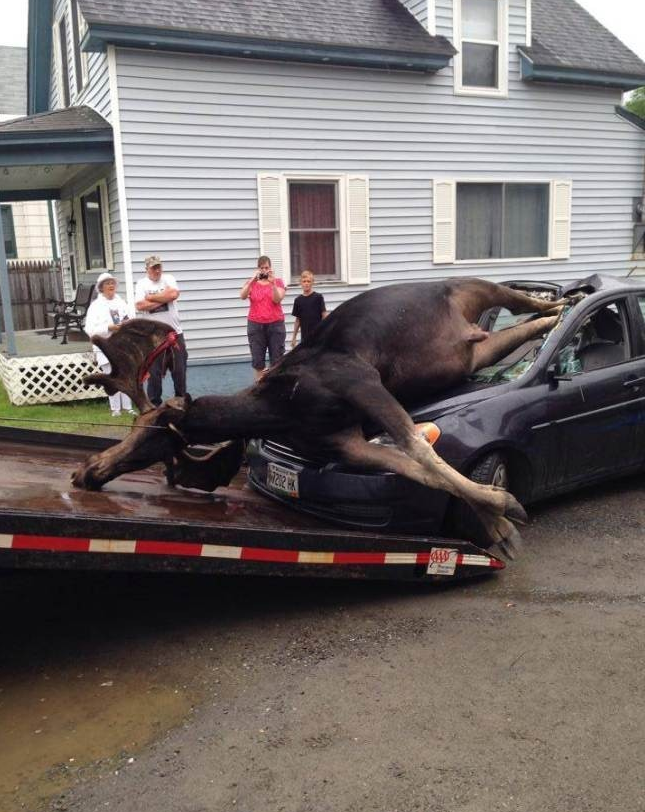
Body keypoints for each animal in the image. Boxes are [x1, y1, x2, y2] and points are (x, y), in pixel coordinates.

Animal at [73, 280, 568, 560]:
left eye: (145, 433)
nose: (85, 472)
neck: (280, 410)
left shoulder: (361, 382)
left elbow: (422, 450)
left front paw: (504, 507)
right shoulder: (344, 441)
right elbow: (421, 470)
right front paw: (498, 521)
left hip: (476, 288)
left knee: (522, 299)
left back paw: (566, 299)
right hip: (476, 350)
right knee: (525, 325)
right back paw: (559, 310)